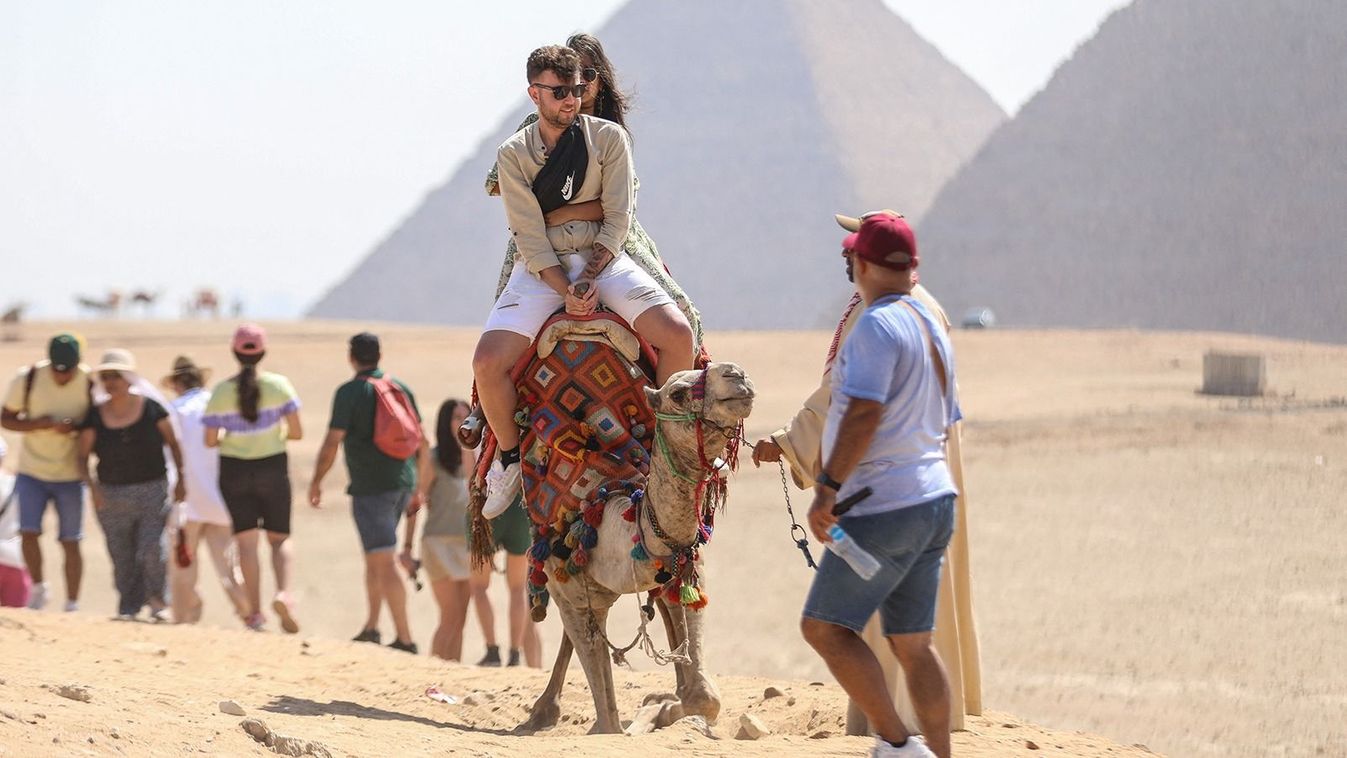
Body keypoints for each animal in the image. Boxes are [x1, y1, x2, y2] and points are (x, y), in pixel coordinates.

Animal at [514, 363, 754, 737]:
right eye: (678, 393)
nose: (737, 375)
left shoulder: (690, 572)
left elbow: (703, 697)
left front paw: (665, 703)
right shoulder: (573, 595)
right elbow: (610, 723)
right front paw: (652, 707)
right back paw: (542, 711)